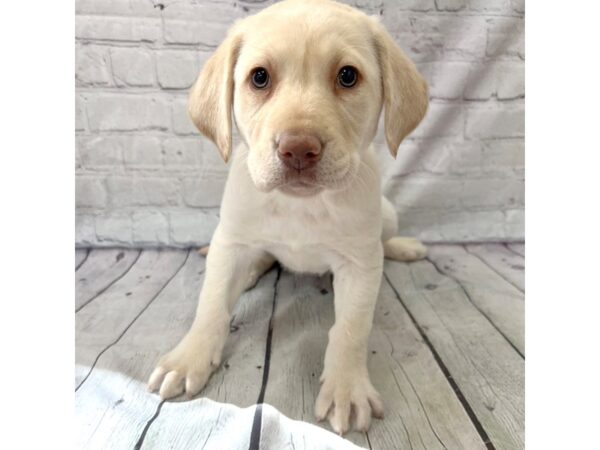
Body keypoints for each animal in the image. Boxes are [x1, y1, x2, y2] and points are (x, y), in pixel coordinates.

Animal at [148, 0, 428, 434]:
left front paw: (346, 387)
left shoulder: (359, 265)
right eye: (259, 77)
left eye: (348, 76)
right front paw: (189, 357)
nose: (298, 149)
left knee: (385, 240)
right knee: (258, 258)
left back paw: (401, 247)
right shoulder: (231, 242)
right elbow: (211, 305)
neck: (302, 205)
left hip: (388, 214)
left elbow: (350, 328)